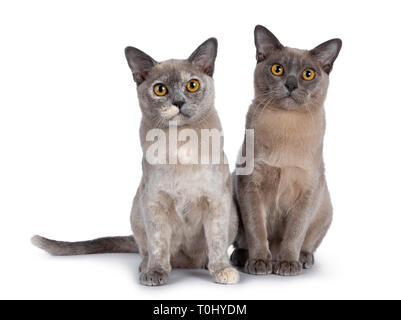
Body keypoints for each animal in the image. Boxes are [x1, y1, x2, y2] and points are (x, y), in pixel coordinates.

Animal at [32, 37, 239, 284]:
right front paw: (156, 273)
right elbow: (158, 244)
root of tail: (186, 265)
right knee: (146, 249)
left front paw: (222, 271)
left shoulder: (216, 202)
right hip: (136, 210)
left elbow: (216, 242)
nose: (178, 102)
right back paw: (145, 267)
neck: (180, 141)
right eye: (160, 89)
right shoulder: (154, 202)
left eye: (192, 85)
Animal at [231, 25, 340, 276]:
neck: (286, 125)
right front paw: (258, 262)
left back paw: (300, 259)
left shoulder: (307, 191)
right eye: (277, 69)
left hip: (325, 207)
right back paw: (245, 258)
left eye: (308, 74)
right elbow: (256, 230)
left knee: (306, 243)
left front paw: (288, 264)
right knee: (245, 241)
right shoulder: (250, 185)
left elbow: (295, 233)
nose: (291, 85)